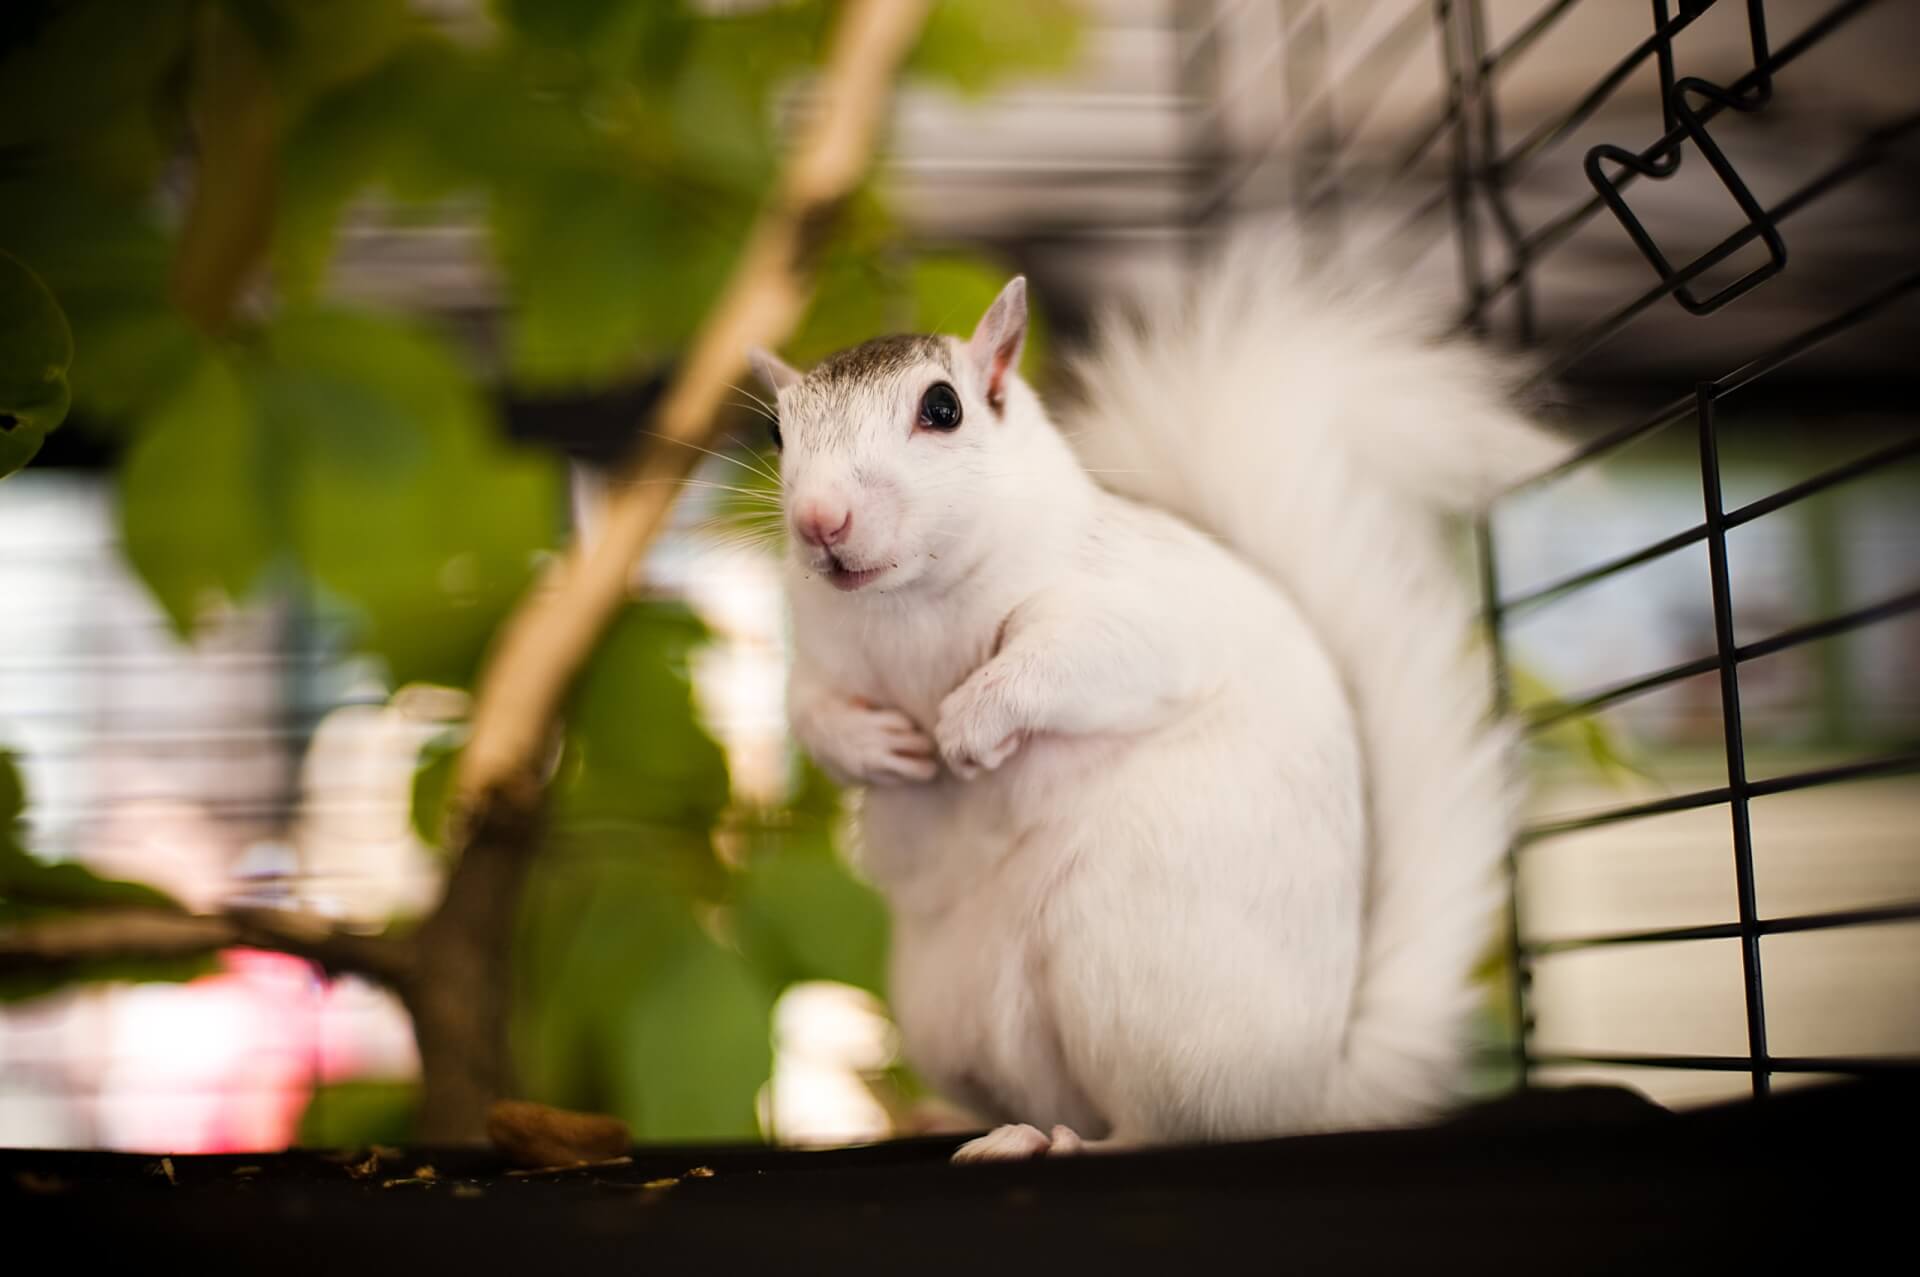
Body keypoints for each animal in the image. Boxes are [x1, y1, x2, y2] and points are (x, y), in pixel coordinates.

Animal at [741, 234, 1566, 1159]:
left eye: (943, 408)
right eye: (776, 431)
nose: (820, 521)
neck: (908, 605)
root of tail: (1305, 1097)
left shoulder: (1134, 611)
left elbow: (1076, 661)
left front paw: (969, 723)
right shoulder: (818, 660)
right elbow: (810, 713)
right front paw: (876, 749)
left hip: (1128, 964)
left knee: (1160, 1125)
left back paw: (1065, 1143)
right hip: (946, 1012)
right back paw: (969, 1124)